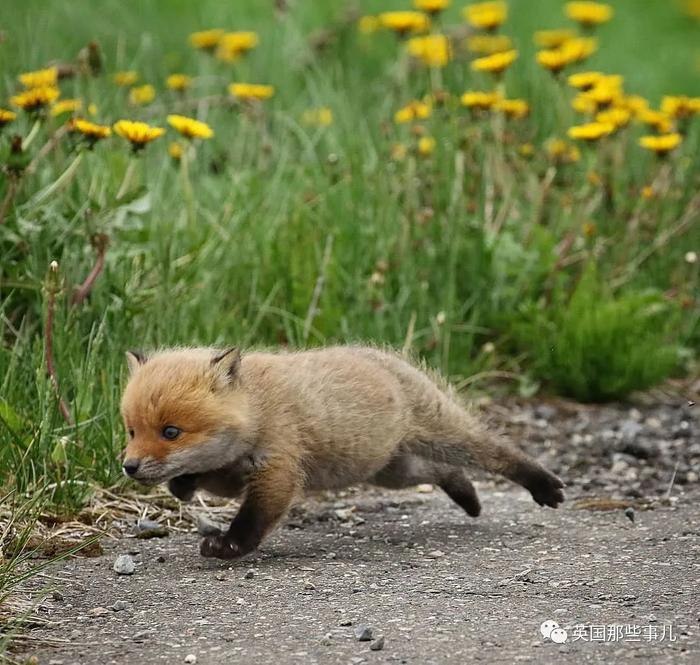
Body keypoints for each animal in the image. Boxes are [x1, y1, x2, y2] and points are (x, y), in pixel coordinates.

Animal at [121, 348, 564, 560]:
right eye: (132, 431)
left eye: (171, 432)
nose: (128, 466)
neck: (258, 408)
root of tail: (386, 357)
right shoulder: (235, 471)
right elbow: (207, 478)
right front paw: (183, 484)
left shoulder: (279, 469)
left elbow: (254, 519)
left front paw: (229, 546)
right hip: (389, 469)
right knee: (442, 472)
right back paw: (468, 497)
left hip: (443, 436)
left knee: (495, 452)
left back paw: (543, 485)